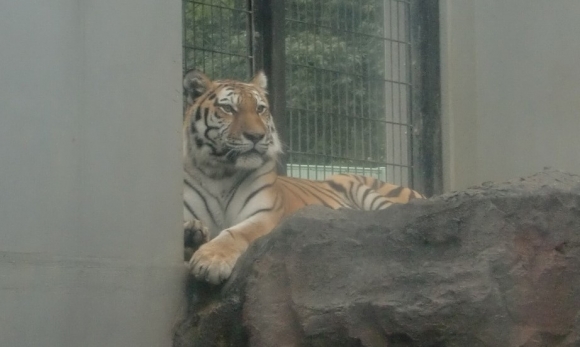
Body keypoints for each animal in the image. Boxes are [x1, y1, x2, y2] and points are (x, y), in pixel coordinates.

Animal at [184, 70, 424, 286]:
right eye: (228, 109)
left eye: (260, 109)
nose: (256, 136)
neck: (220, 172)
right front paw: (192, 233)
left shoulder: (264, 214)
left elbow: (236, 233)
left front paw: (210, 260)